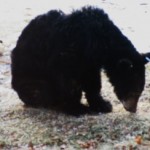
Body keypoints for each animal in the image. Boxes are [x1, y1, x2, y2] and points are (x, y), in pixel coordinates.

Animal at [11, 6, 149, 115]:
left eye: (140, 91)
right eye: (135, 91)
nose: (133, 109)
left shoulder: (91, 62)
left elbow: (93, 81)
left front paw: (103, 104)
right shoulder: (69, 52)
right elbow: (67, 80)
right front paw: (78, 108)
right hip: (31, 79)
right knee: (42, 91)